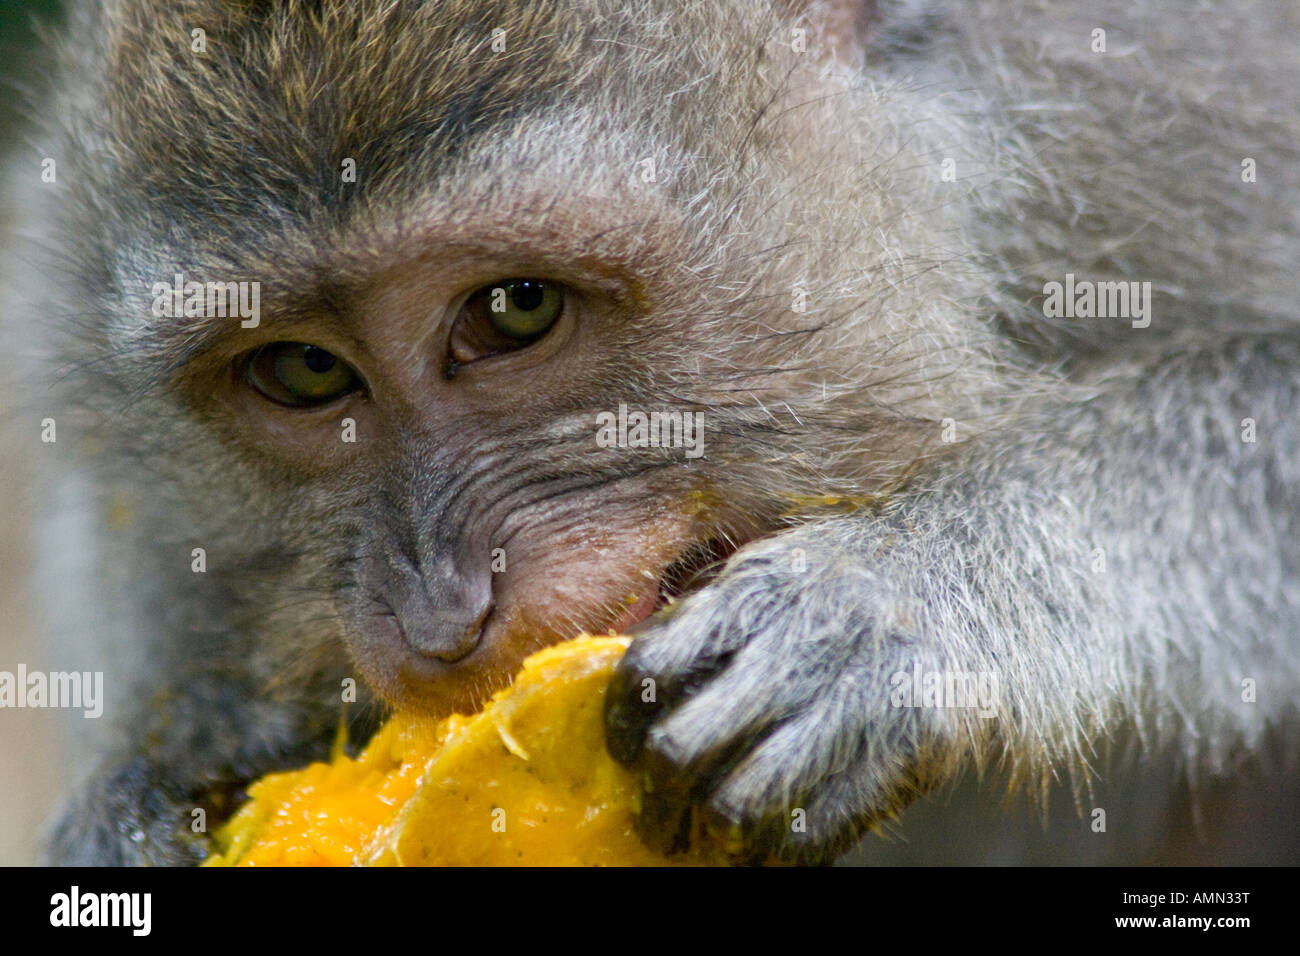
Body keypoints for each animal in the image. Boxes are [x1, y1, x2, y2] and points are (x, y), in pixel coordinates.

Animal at [4, 0, 1298, 866]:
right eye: (307, 369)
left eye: (515, 309)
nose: (440, 613)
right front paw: (167, 760)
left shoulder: (1145, 107)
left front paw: (891, 596)